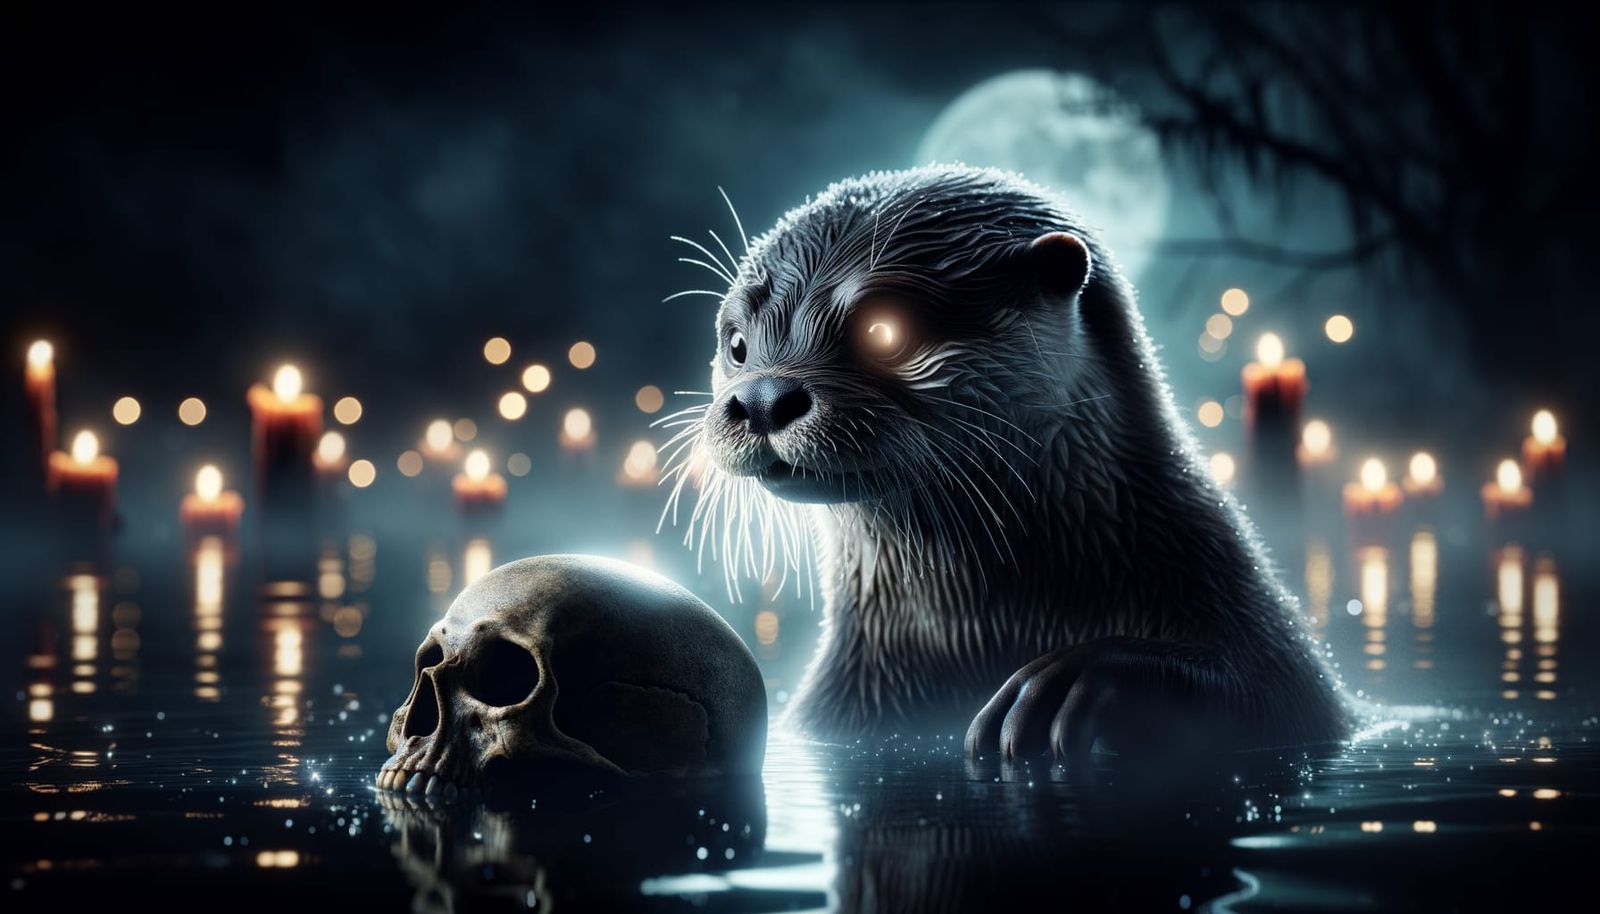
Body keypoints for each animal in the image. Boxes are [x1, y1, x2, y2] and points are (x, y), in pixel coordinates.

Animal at [663, 165, 1350, 763]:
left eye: (885, 329)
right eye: (737, 344)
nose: (761, 398)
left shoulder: (1270, 658)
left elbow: (1260, 693)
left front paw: (1073, 677)